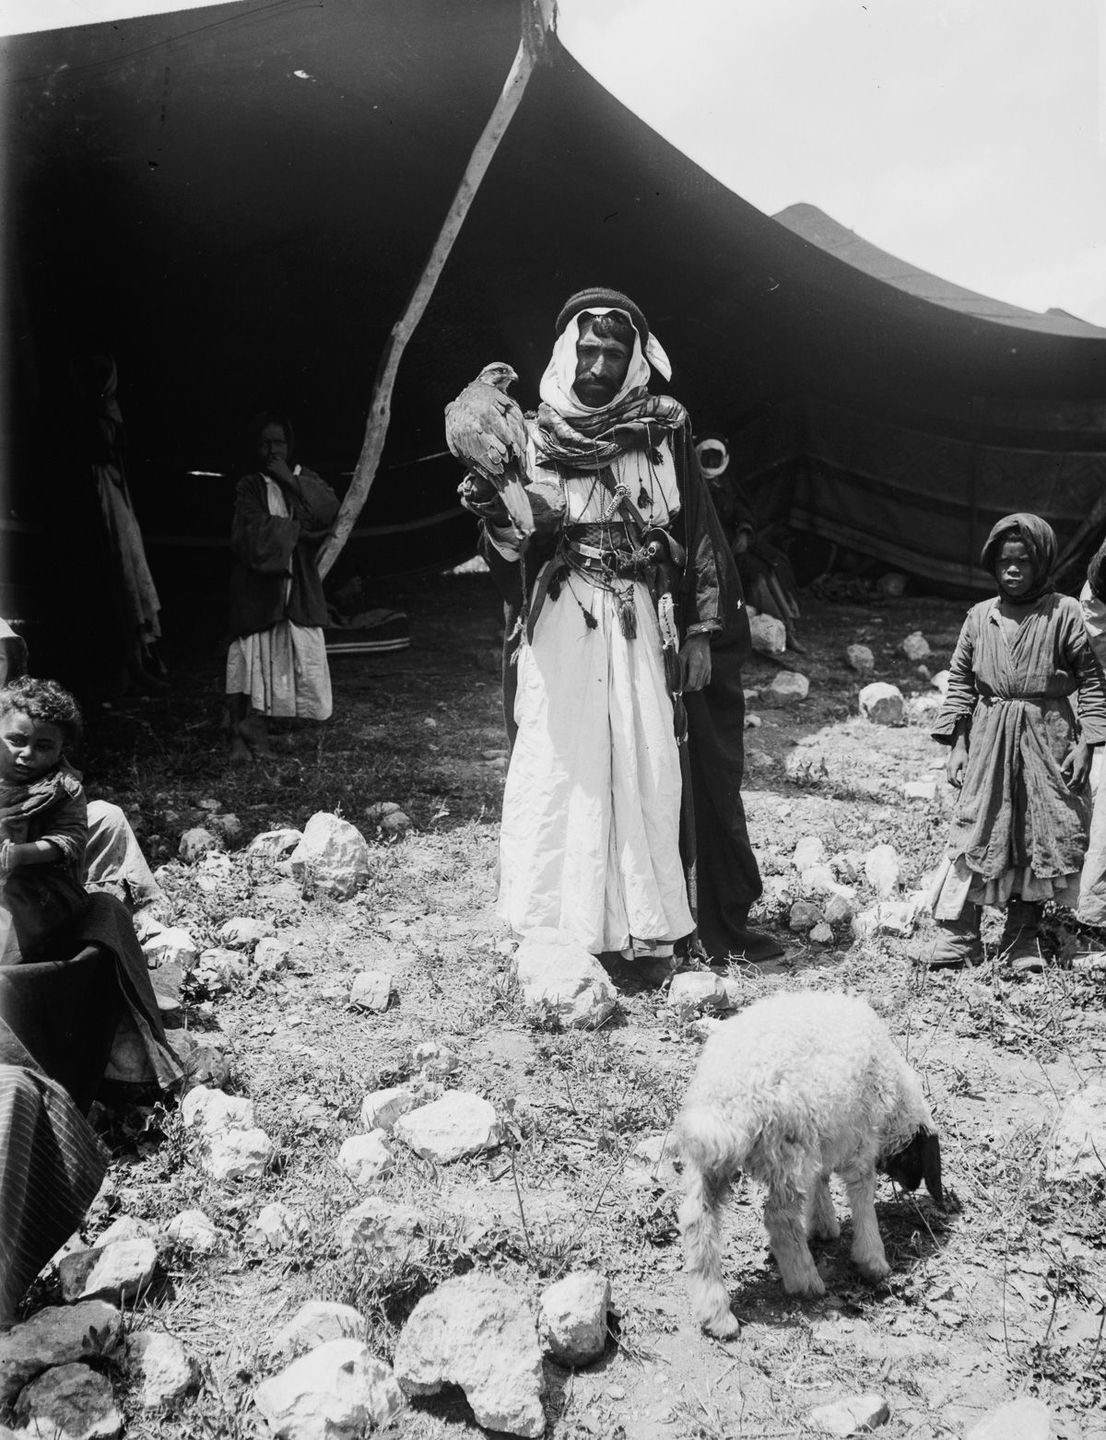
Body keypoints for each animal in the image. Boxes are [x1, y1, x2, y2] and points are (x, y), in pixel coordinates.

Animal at [673, 990, 944, 1336]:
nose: (912, 1187)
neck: (894, 1097)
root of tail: (732, 1098)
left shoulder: (826, 1136)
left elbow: (822, 1179)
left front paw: (825, 1225)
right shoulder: (859, 1146)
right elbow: (862, 1200)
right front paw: (873, 1260)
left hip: (711, 1160)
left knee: (699, 1220)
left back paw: (716, 1312)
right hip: (787, 1153)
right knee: (779, 1220)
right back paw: (805, 1282)